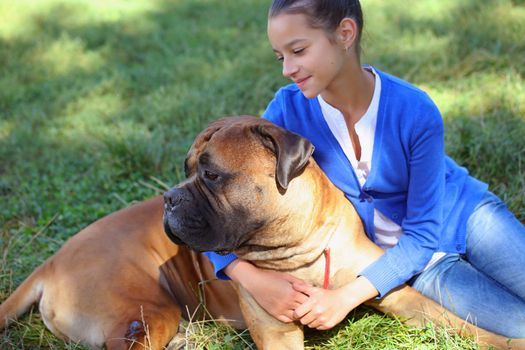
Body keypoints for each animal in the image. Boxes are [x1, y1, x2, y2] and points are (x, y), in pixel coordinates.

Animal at [164, 115, 524, 350]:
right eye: (186, 169)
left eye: (211, 174)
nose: (169, 198)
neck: (298, 247)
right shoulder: (275, 330)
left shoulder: (400, 295)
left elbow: (460, 322)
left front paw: (509, 341)